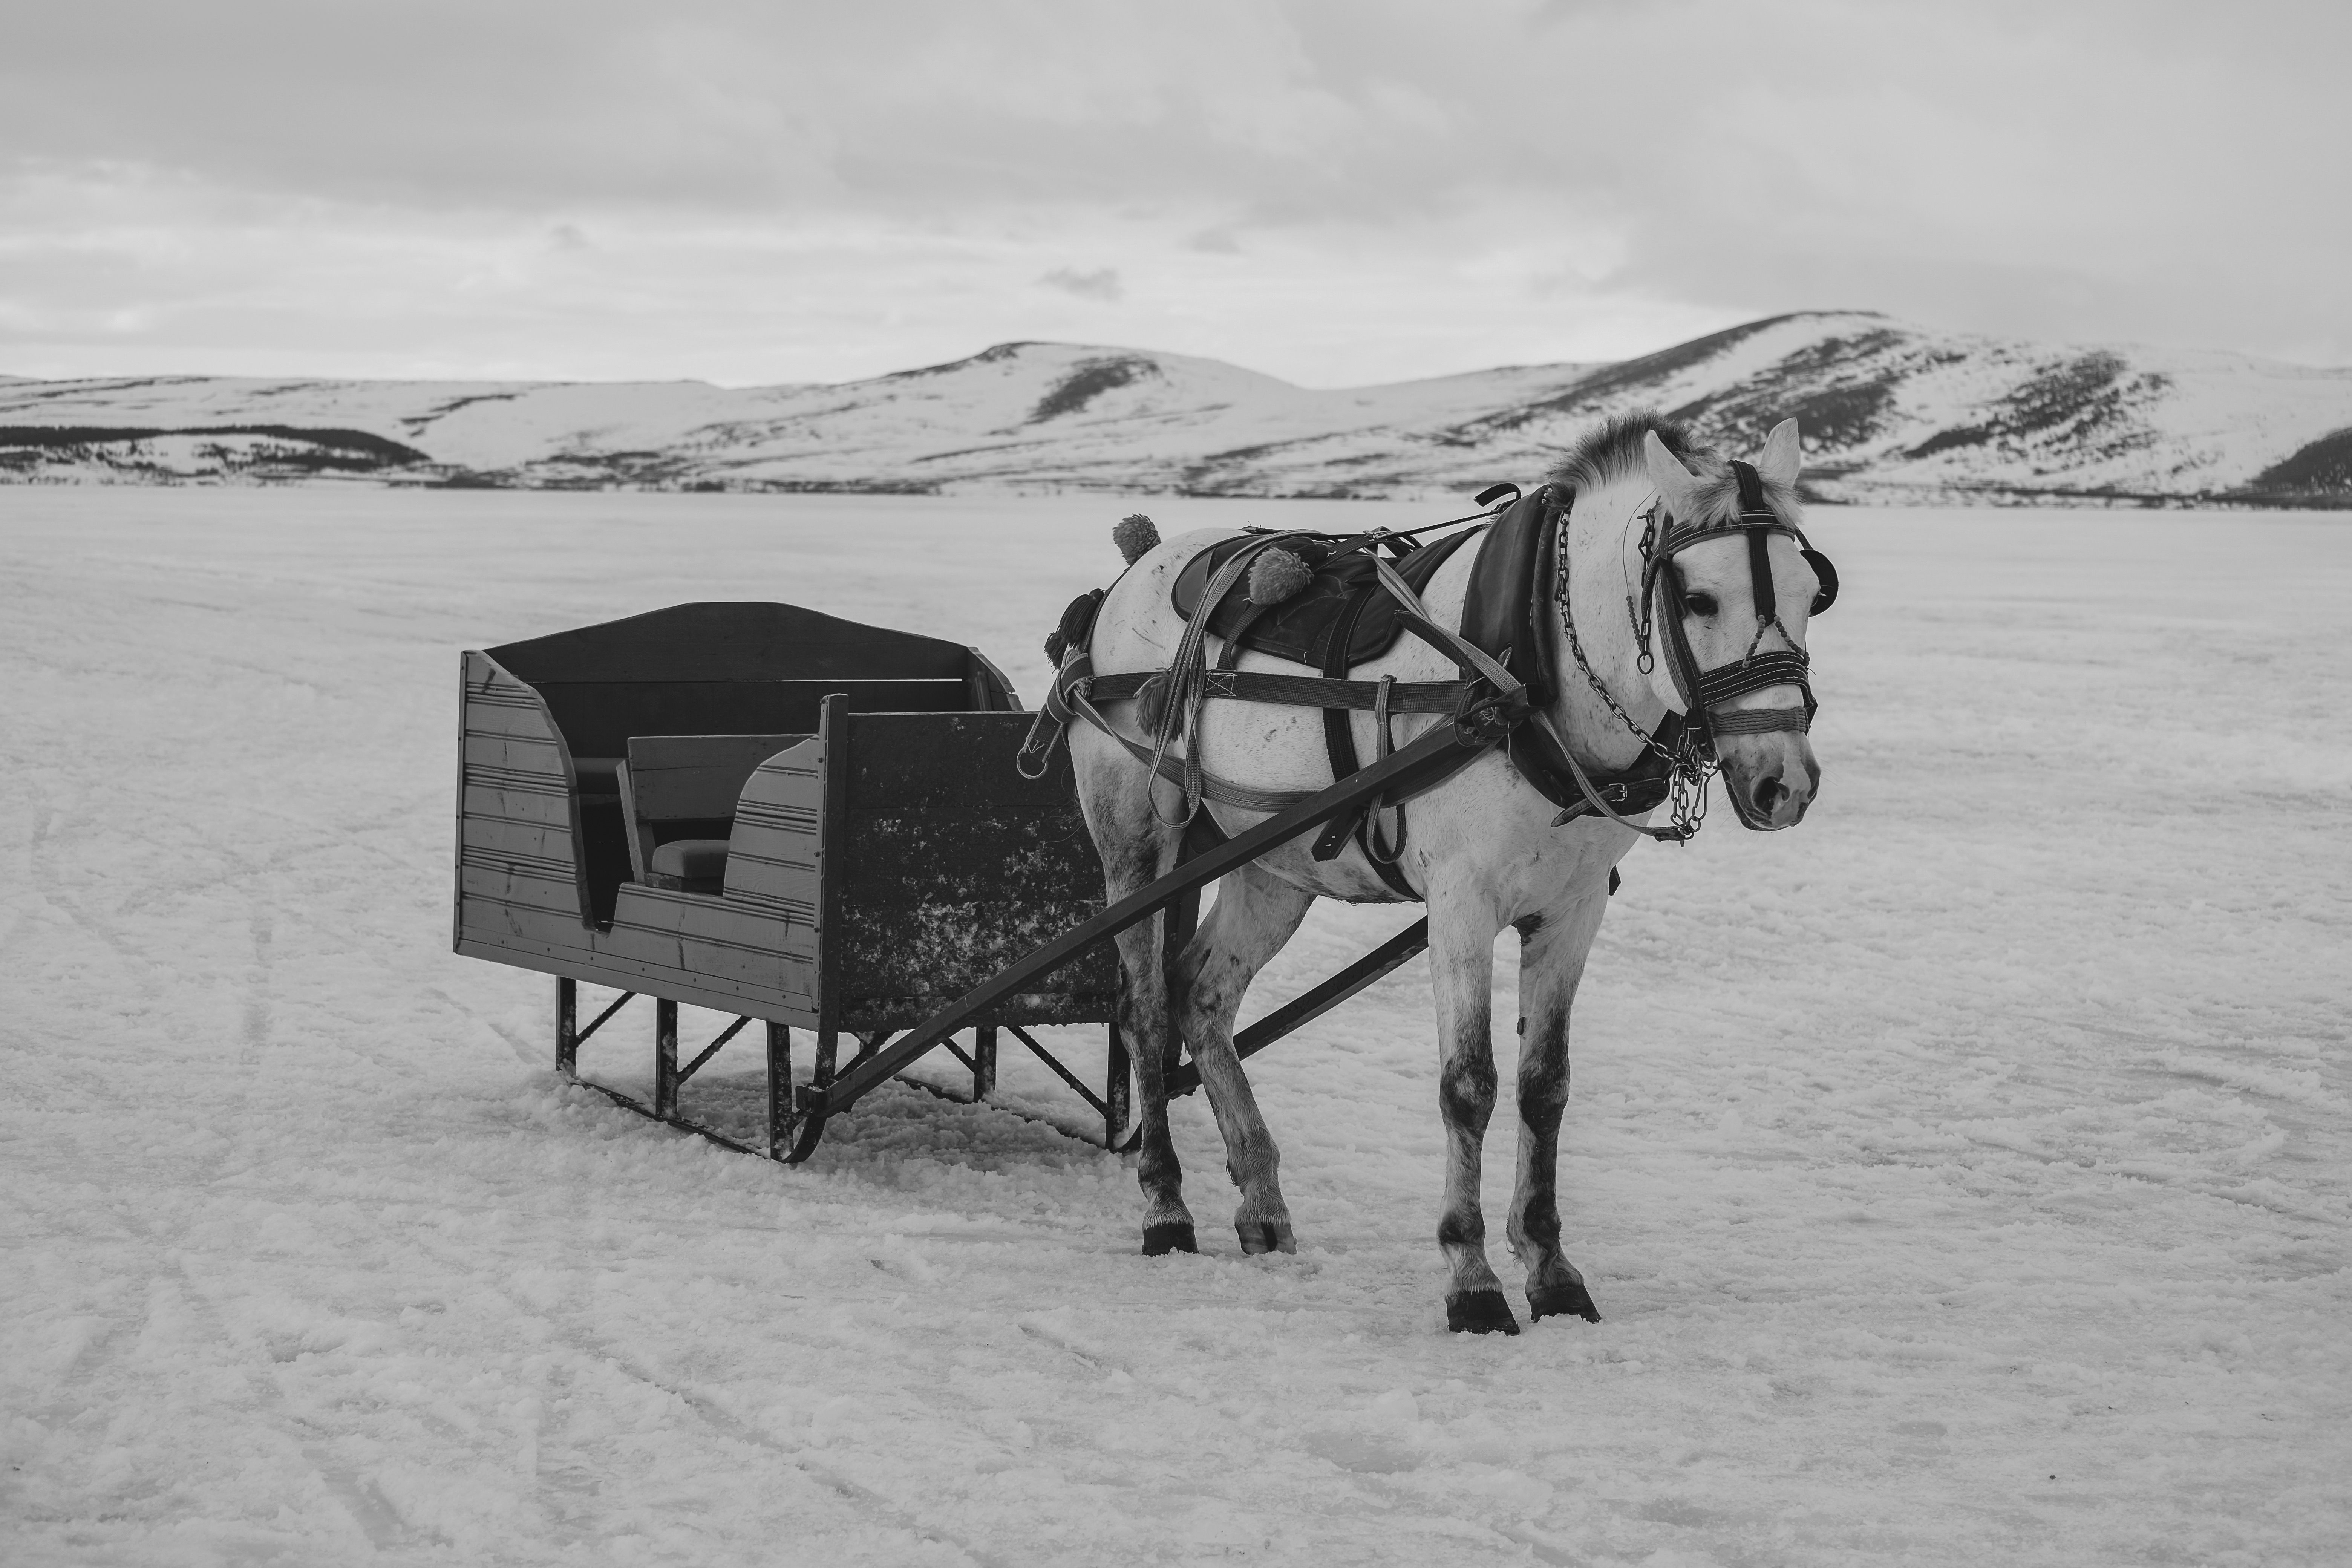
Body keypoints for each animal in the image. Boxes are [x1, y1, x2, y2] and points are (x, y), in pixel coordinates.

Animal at [1066, 411, 1827, 1334]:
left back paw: (1261, 1197)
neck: (1535, 666)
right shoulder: (1462, 902)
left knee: (1201, 995)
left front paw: (1552, 1267)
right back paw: (1166, 1205)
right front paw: (1472, 1279)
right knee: (1144, 1008)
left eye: (1811, 590)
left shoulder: (1571, 910)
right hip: (1139, 836)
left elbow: (1545, 1087)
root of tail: (1130, 573)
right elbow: (1470, 1085)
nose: (1785, 783)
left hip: (1272, 862)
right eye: (1699, 598)